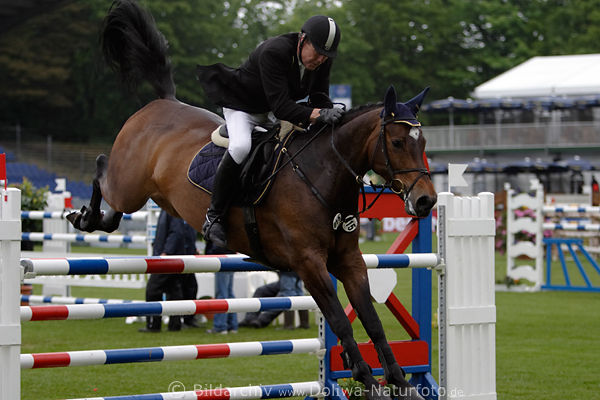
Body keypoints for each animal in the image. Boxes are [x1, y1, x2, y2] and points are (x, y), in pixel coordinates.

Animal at [69, 1, 436, 398]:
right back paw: (85, 217)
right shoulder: (309, 263)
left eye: (423, 143)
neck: (322, 174)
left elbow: (371, 318)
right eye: (397, 142)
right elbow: (340, 320)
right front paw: (367, 379)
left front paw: (400, 380)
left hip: (155, 196)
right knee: (101, 172)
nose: (426, 202)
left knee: (118, 205)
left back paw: (99, 219)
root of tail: (162, 103)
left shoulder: (348, 260)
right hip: (130, 186)